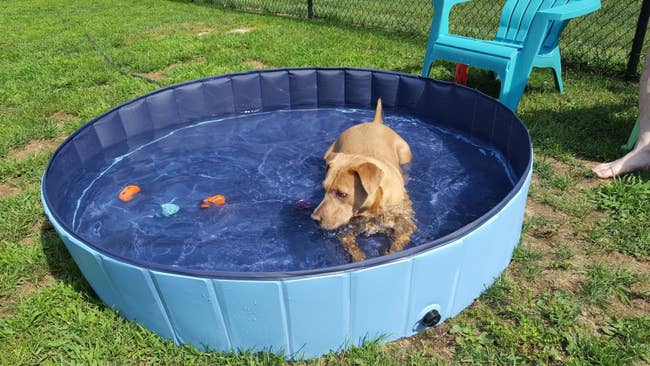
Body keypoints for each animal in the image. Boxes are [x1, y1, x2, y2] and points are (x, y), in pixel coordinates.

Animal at [310, 98, 416, 262]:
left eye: (342, 194)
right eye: (323, 189)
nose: (313, 218)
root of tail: (374, 123)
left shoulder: (406, 224)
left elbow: (398, 243)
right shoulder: (347, 229)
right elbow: (353, 249)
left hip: (405, 153)